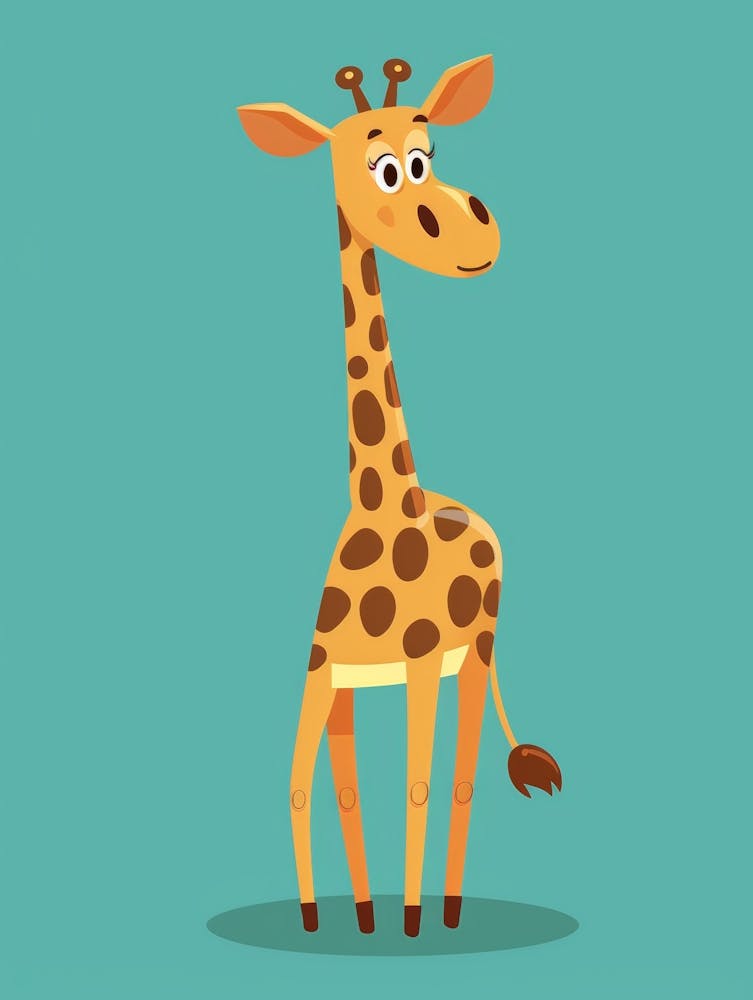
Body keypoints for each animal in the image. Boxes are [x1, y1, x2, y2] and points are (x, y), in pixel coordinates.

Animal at [237, 55, 562, 939]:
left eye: (429, 153)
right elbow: (316, 786)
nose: (480, 230)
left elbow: (416, 784)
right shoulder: (328, 672)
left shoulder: (421, 660)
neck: (391, 506)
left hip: (475, 654)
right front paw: (340, 917)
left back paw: (444, 909)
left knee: (461, 774)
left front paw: (409, 918)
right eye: (387, 169)